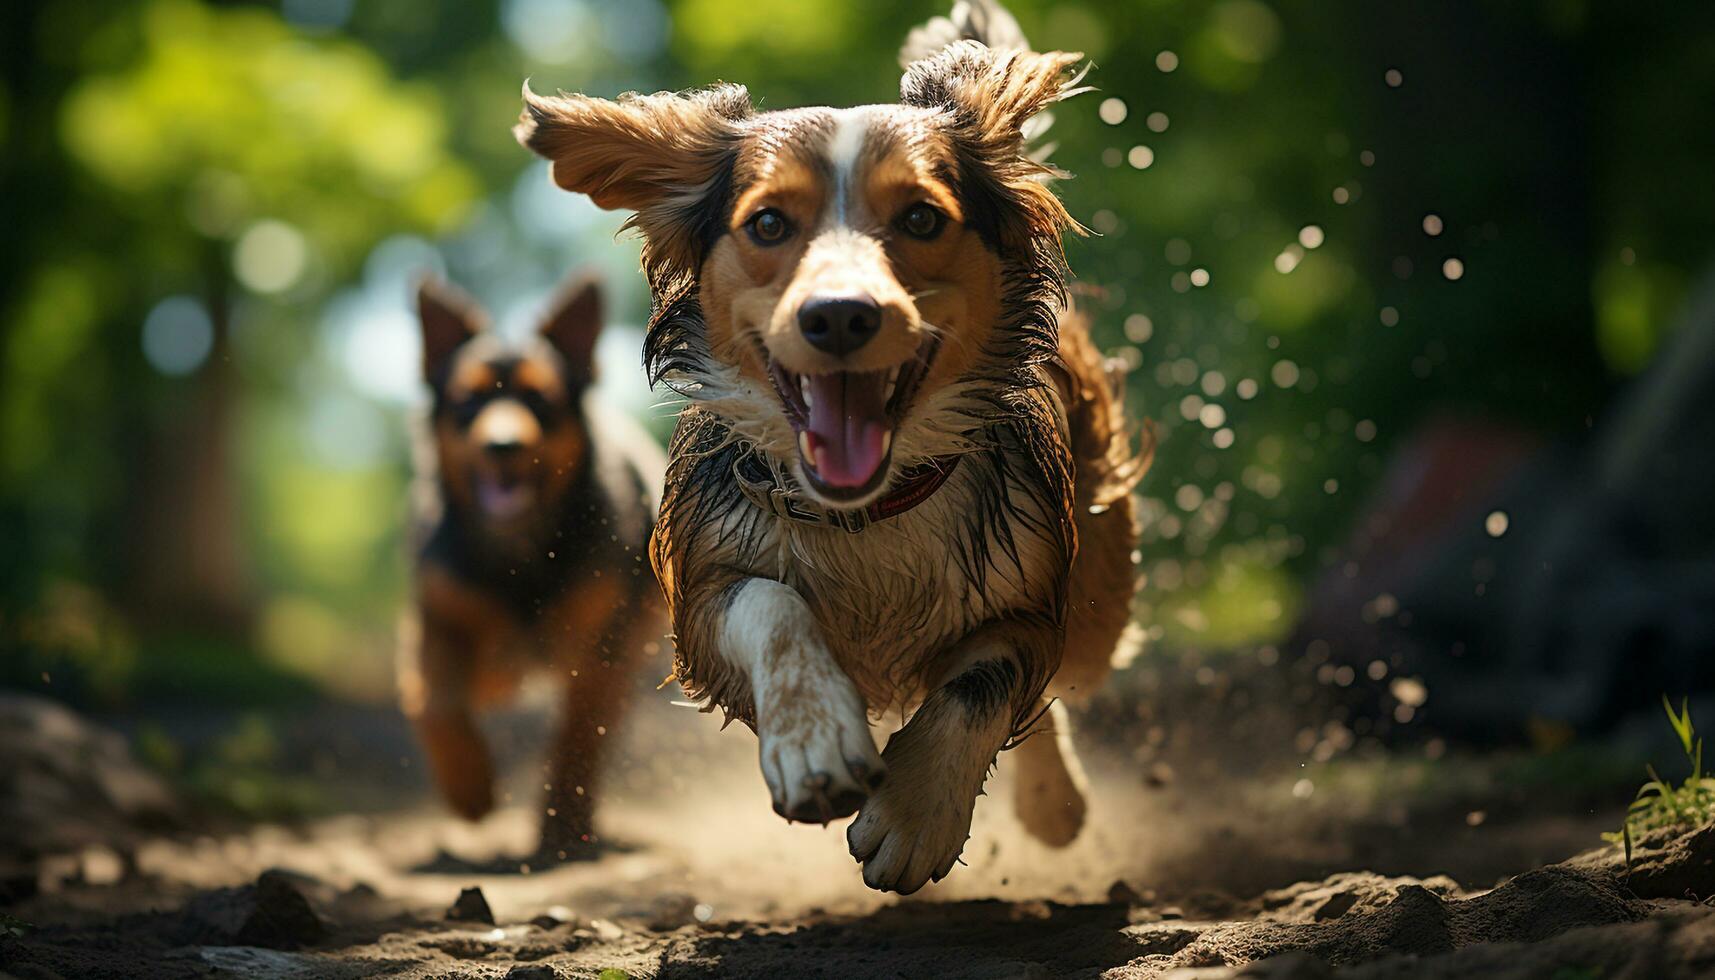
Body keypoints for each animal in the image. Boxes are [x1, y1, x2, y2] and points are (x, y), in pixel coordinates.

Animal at [397, 276, 665, 858]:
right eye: (468, 400)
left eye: (540, 400)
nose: (503, 445)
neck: (519, 551)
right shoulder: (437, 617)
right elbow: (434, 700)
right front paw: (469, 787)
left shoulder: (602, 649)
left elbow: (577, 737)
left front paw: (561, 826)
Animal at [514, 0, 1145, 899]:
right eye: (768, 222)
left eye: (920, 217)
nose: (840, 315)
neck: (868, 514)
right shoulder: (700, 593)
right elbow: (770, 604)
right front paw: (813, 741)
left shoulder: (1032, 594)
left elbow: (985, 683)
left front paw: (916, 814)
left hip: (1098, 585)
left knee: (1067, 674)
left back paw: (1054, 804)